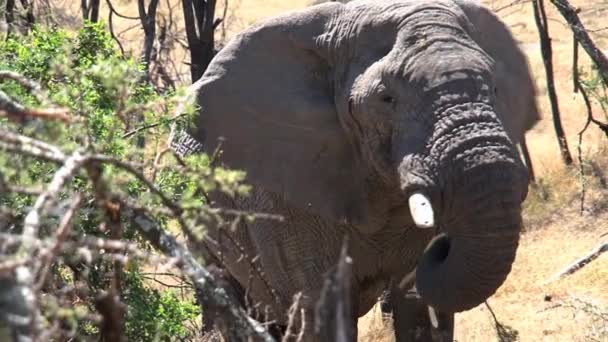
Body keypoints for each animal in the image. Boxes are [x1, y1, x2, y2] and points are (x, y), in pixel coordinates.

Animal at [170, 0, 536, 340]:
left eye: (494, 88)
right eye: (387, 99)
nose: (443, 243)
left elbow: (416, 312)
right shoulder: (286, 199)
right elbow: (324, 310)